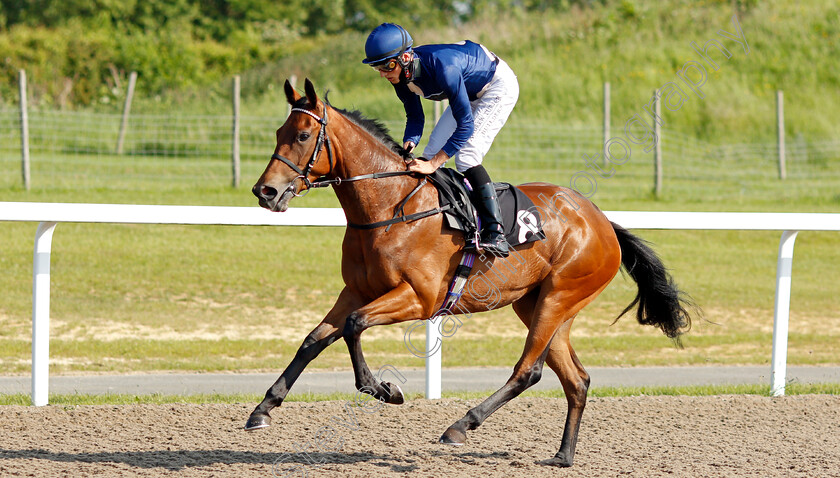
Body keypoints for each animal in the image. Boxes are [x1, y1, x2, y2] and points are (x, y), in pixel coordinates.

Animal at [249, 79, 696, 466]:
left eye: (303, 135)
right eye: (279, 131)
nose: (264, 191)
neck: (390, 207)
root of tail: (602, 221)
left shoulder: (420, 298)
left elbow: (354, 326)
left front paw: (382, 389)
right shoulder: (356, 290)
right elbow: (314, 339)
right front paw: (263, 408)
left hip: (559, 297)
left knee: (528, 371)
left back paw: (460, 426)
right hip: (539, 305)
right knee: (577, 379)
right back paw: (563, 456)